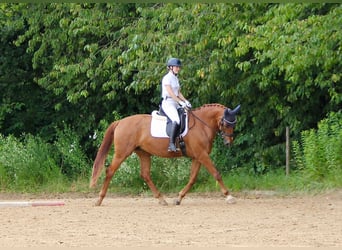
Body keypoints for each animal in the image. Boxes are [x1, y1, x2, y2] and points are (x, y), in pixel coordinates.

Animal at [90, 103, 240, 205]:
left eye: (234, 124)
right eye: (226, 124)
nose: (228, 143)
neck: (201, 125)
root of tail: (120, 121)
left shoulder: (198, 157)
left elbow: (192, 179)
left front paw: (178, 198)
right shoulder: (202, 155)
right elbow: (216, 173)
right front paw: (229, 196)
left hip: (144, 153)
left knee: (145, 174)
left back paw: (162, 199)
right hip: (122, 153)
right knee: (110, 171)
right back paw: (99, 200)